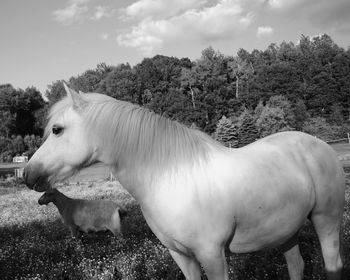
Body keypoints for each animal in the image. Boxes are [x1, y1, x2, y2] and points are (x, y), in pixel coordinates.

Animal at [23, 85, 344, 280]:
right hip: (286, 230)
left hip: (326, 220)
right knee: (296, 266)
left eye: (57, 129)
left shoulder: (212, 255)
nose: (28, 175)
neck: (171, 180)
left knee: (333, 265)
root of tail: (320, 144)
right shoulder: (181, 255)